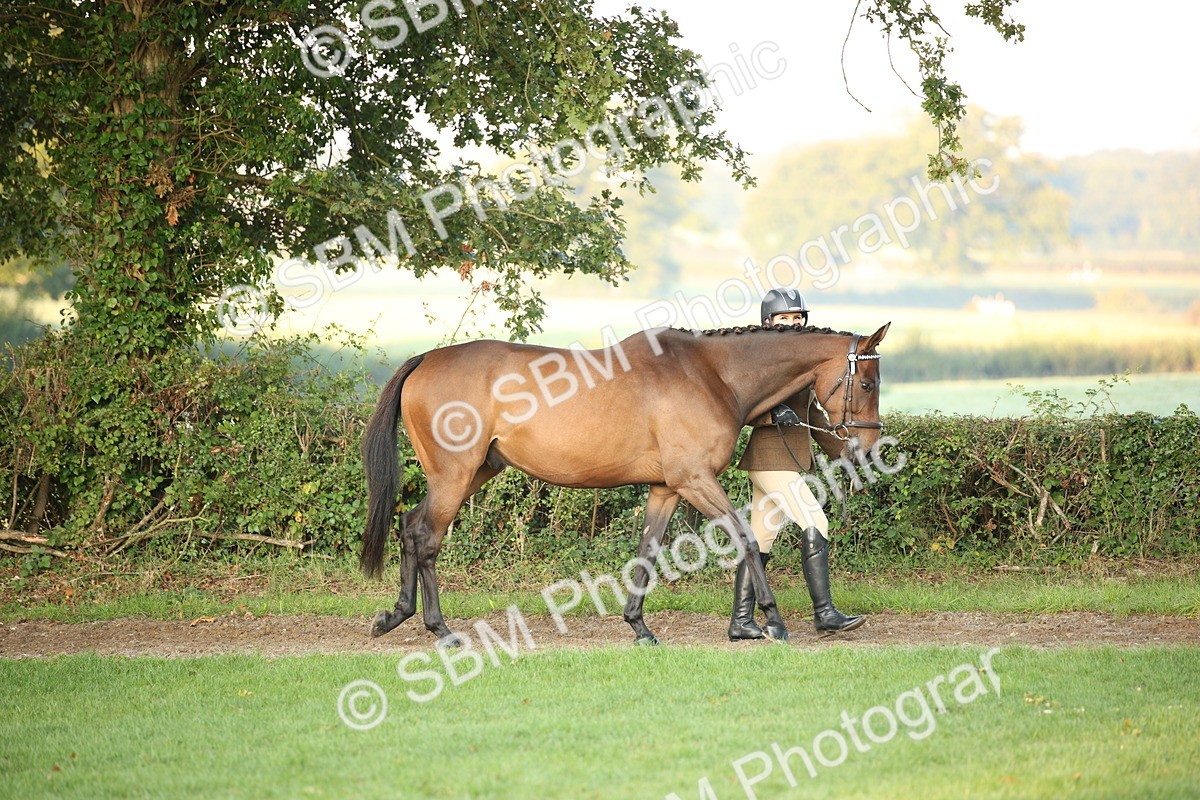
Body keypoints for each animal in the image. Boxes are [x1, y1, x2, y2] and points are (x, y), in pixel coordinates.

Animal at [359, 321, 891, 646]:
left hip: (473, 472)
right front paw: (773, 621)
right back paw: (439, 628)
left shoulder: (667, 488)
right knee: (426, 537)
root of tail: (427, 359)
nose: (866, 451)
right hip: (455, 476)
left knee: (410, 527)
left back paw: (395, 615)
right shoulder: (695, 480)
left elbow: (648, 550)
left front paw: (639, 626)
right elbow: (743, 538)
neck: (712, 374)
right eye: (867, 383)